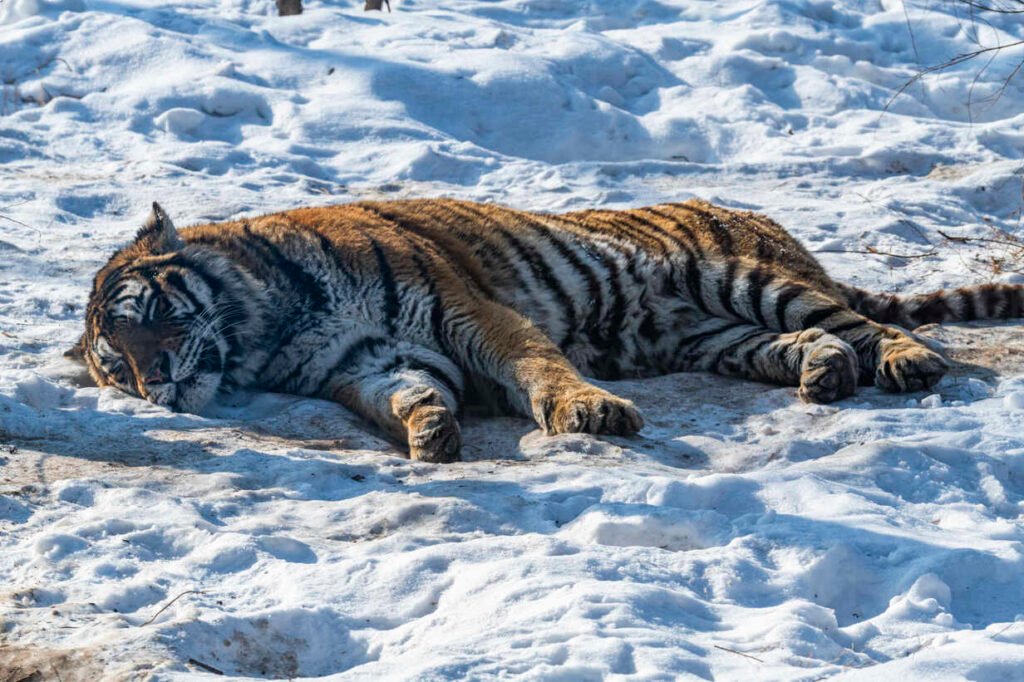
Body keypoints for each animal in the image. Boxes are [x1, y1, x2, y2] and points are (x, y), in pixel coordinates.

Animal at [68, 198, 1024, 463]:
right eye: (116, 366)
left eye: (149, 323)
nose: (158, 389)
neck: (268, 327)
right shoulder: (371, 359)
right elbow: (406, 394)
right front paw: (430, 432)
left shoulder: (467, 310)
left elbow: (540, 369)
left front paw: (587, 414)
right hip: (710, 335)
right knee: (813, 345)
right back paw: (823, 378)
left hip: (741, 279)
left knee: (857, 323)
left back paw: (907, 362)